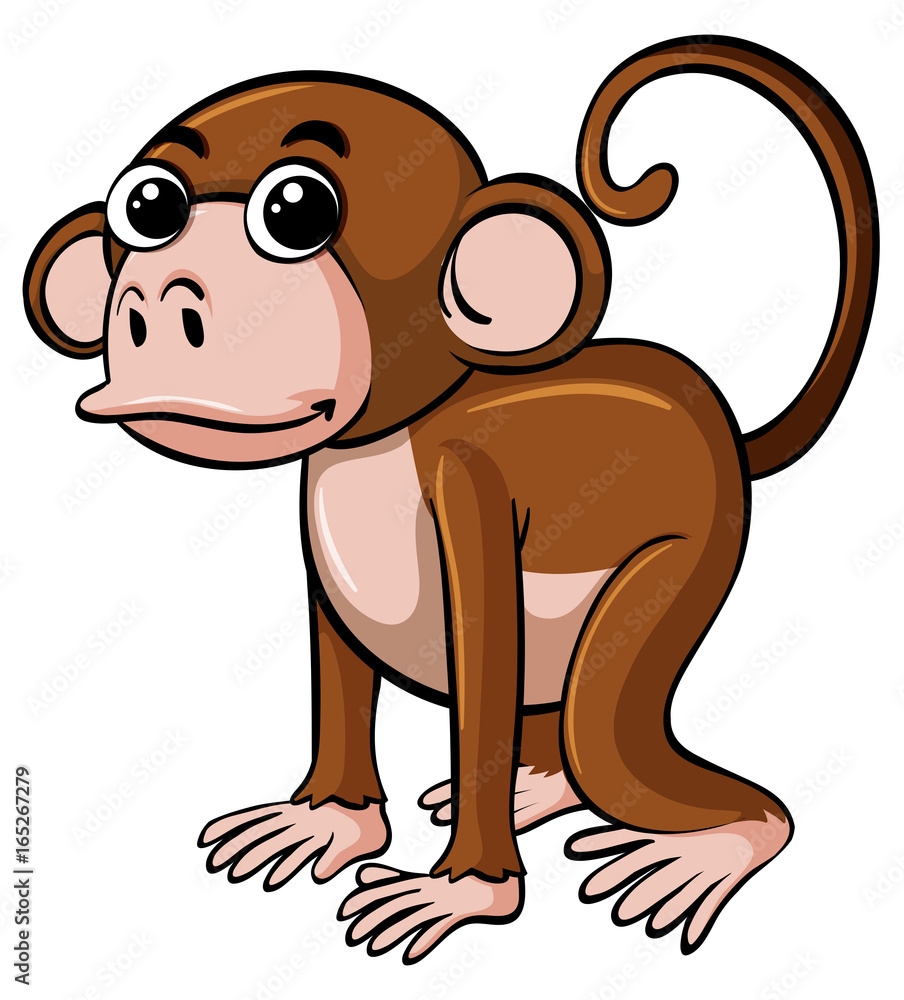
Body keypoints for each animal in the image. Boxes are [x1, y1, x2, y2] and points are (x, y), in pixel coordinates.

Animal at [24, 36, 877, 963]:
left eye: (296, 210)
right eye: (149, 207)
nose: (161, 294)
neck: (389, 436)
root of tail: (716, 416)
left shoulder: (468, 484)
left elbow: (484, 658)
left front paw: (467, 891)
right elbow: (340, 657)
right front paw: (327, 821)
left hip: (692, 547)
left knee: (607, 734)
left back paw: (716, 843)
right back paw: (540, 786)